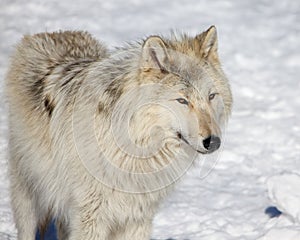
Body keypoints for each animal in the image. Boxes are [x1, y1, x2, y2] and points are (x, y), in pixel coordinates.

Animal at [5, 26, 233, 240]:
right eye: (182, 100)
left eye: (211, 96)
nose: (213, 142)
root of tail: (51, 33)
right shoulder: (91, 217)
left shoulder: (137, 218)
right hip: (27, 197)